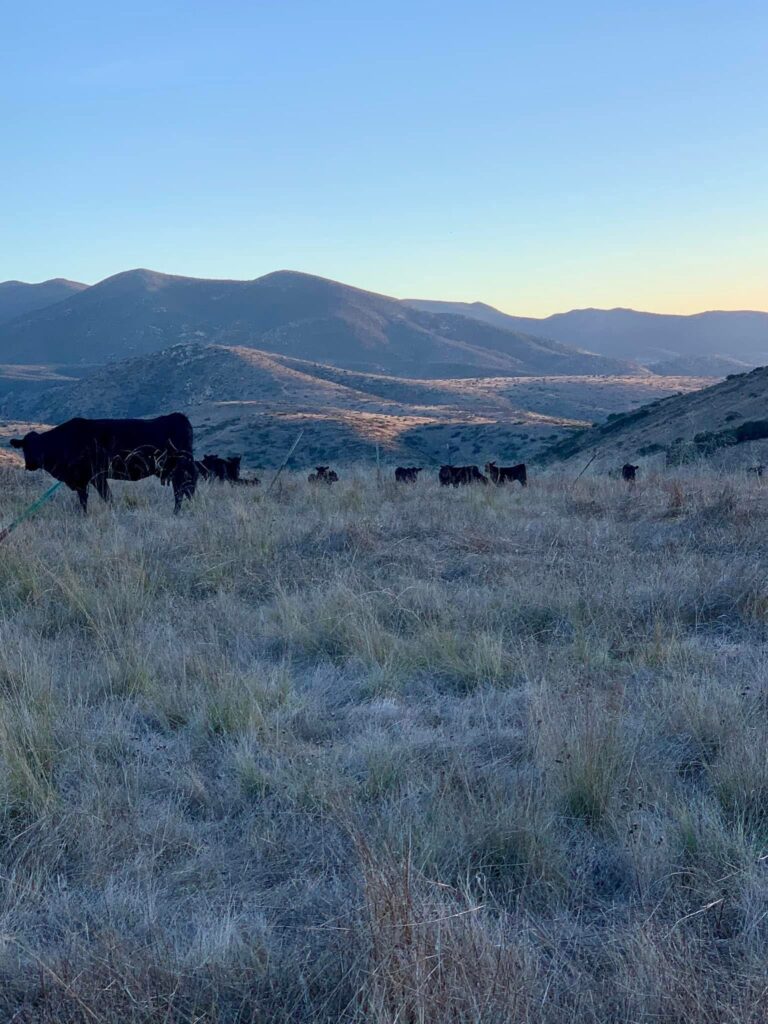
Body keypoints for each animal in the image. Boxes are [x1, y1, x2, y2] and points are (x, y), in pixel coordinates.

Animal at [9, 413, 195, 512]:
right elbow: (84, 499)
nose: (30, 465)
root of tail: (179, 417)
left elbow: (105, 497)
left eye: (37, 447)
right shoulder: (82, 480)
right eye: (25, 447)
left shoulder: (94, 477)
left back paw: (177, 512)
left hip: (179, 468)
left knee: (182, 490)